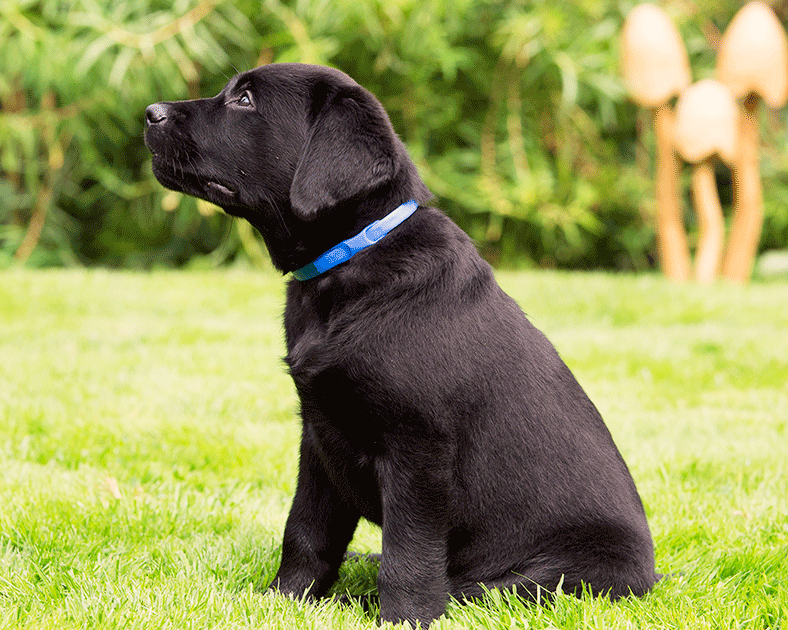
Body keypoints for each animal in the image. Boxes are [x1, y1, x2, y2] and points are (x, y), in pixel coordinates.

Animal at [143, 63, 660, 628]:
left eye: (245, 100)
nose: (150, 112)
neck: (352, 258)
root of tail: (653, 576)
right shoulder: (318, 437)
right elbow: (305, 531)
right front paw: (282, 601)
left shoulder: (419, 448)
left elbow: (410, 552)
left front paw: (402, 617)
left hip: (554, 573)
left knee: (478, 589)